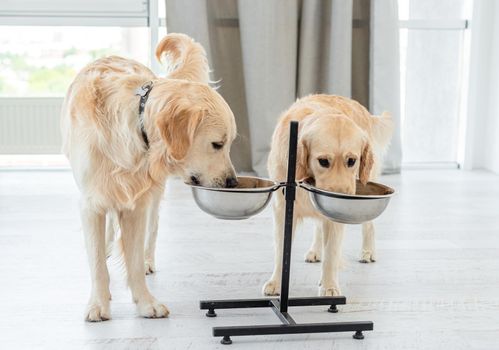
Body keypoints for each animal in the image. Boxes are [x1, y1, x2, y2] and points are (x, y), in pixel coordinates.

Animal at [62, 34, 238, 322]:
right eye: (217, 144)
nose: (232, 182)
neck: (135, 119)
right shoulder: (91, 202)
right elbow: (97, 262)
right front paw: (99, 303)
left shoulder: (137, 201)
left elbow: (133, 260)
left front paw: (145, 303)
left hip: (152, 194)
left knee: (151, 231)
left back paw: (147, 261)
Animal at [264, 94, 392, 296]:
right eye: (323, 161)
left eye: (352, 160)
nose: (340, 195)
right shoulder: (283, 208)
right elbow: (281, 249)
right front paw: (276, 283)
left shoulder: (336, 216)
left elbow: (331, 252)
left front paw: (329, 286)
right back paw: (316, 251)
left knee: (368, 226)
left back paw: (367, 252)